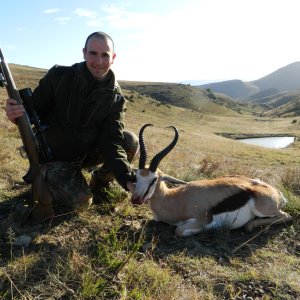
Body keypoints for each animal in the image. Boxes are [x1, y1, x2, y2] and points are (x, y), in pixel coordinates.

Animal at [132, 124, 292, 237]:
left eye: (154, 179)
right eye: (136, 175)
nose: (135, 199)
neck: (175, 199)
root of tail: (277, 193)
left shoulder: (200, 220)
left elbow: (179, 230)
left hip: (264, 210)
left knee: (286, 216)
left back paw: (249, 226)